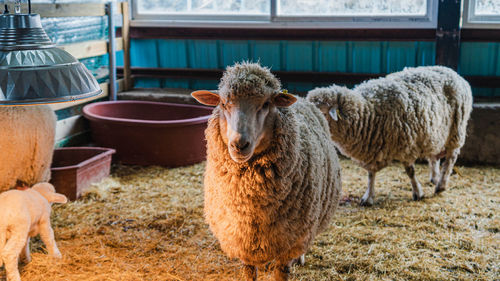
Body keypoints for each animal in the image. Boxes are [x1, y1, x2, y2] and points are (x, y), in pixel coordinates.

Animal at [189, 61, 342, 280]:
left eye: (265, 104)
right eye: (224, 104)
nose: (239, 145)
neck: (251, 203)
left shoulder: (288, 244)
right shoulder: (243, 243)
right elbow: (249, 273)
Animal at [304, 66, 472, 206]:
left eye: (322, 112)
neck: (369, 111)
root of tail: (452, 72)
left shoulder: (407, 146)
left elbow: (410, 172)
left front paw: (418, 193)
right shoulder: (371, 149)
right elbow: (370, 175)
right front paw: (368, 197)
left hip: (456, 130)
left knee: (450, 158)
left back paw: (441, 185)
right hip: (435, 133)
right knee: (434, 156)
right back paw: (434, 178)